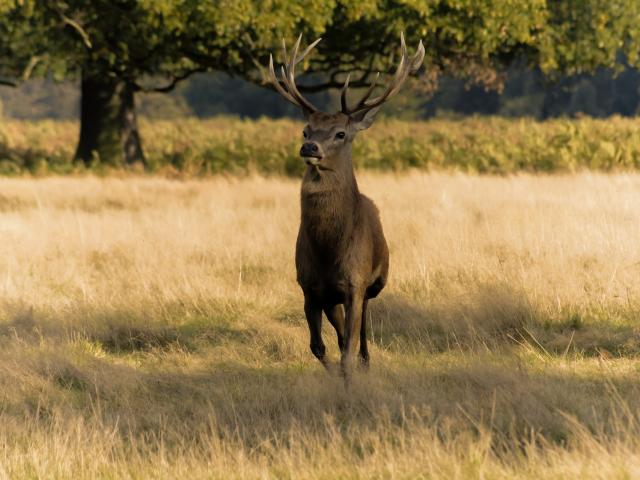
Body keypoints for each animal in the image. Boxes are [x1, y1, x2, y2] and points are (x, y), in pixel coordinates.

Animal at [266, 33, 424, 380]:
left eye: (341, 133)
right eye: (305, 130)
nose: (310, 147)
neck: (330, 251)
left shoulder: (356, 281)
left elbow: (349, 348)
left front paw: (351, 379)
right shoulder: (309, 287)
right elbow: (319, 347)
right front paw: (336, 378)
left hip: (373, 282)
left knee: (363, 325)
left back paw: (366, 361)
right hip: (332, 298)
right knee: (340, 333)